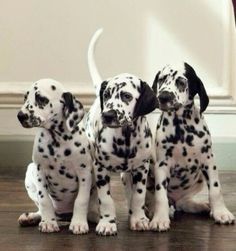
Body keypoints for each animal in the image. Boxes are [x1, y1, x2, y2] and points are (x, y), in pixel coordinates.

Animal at [16, 79, 96, 234]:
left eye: (41, 99)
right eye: (25, 98)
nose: (20, 116)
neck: (57, 140)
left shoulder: (84, 172)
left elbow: (81, 200)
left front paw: (78, 223)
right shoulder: (40, 171)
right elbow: (44, 200)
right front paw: (48, 222)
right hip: (30, 171)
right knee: (40, 208)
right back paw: (31, 217)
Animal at [85, 29, 159, 235]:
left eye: (126, 96)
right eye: (107, 95)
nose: (108, 115)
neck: (125, 139)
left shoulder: (141, 168)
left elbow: (139, 195)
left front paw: (139, 219)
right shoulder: (100, 169)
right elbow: (106, 199)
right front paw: (107, 223)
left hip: (129, 174)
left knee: (130, 192)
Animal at [148, 62, 235, 231]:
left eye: (181, 82)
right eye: (162, 79)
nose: (163, 97)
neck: (181, 126)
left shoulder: (209, 162)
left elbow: (216, 190)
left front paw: (221, 212)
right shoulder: (162, 165)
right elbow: (160, 194)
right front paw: (160, 218)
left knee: (183, 202)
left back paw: (200, 206)